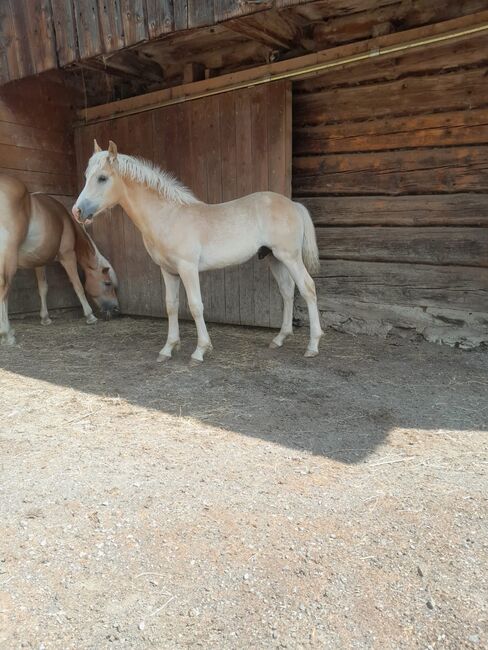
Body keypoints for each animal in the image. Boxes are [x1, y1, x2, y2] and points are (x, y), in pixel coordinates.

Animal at [0, 172, 119, 344]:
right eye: (107, 283)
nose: (116, 308)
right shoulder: (68, 255)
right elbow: (77, 285)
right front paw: (90, 316)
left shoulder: (39, 262)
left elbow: (43, 288)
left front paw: (45, 318)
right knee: (4, 288)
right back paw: (6, 333)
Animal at [73, 140, 324, 362]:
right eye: (85, 176)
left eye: (102, 178)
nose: (77, 211)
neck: (168, 216)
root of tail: (293, 205)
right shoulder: (168, 271)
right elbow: (171, 306)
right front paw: (168, 348)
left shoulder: (188, 268)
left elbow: (195, 306)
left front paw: (200, 351)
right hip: (274, 258)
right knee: (287, 292)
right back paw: (279, 339)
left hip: (289, 257)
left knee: (308, 288)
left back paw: (312, 346)